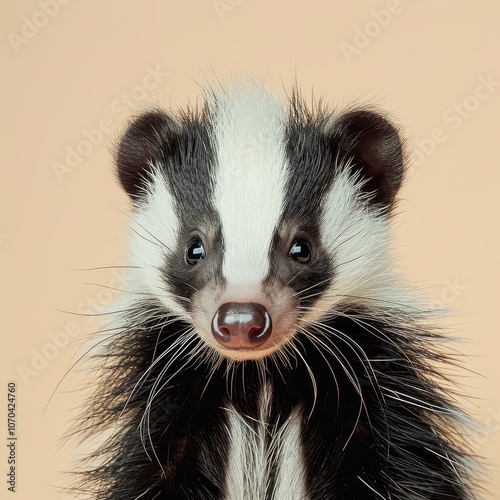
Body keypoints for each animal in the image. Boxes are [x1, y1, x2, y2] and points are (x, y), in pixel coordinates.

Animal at [76, 84, 478, 498]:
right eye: (194, 249)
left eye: (301, 247)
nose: (241, 319)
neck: (260, 376)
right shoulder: (165, 397)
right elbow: (151, 472)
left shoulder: (376, 388)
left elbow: (407, 471)